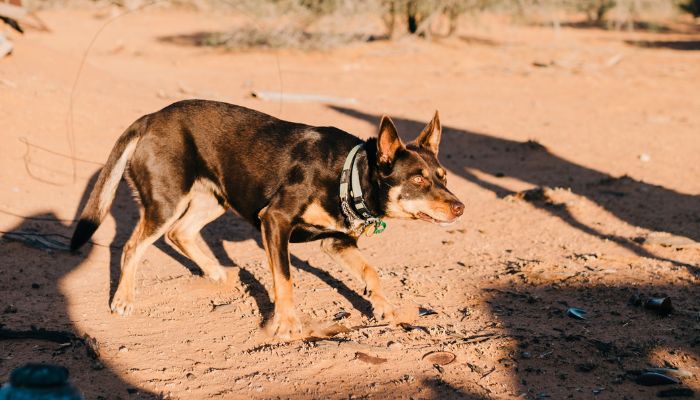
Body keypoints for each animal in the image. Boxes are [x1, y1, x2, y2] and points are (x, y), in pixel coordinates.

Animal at [71, 100, 464, 338]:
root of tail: (151, 117)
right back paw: (123, 299)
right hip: (167, 201)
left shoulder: (335, 241)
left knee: (180, 234)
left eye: (443, 176)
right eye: (418, 180)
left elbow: (371, 271)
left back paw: (216, 273)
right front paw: (288, 325)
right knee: (133, 246)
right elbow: (285, 280)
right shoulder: (275, 221)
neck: (347, 172)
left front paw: (382, 306)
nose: (460, 207)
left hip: (216, 197)